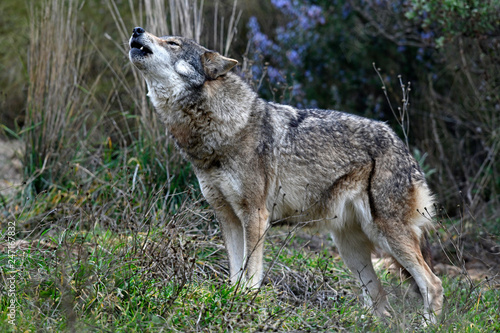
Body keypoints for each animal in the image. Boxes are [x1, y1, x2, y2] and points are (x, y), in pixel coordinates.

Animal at [128, 26, 442, 322]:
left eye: (173, 43)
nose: (137, 30)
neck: (219, 130)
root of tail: (400, 142)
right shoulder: (227, 217)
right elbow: (235, 271)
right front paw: (231, 301)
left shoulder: (255, 215)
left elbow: (250, 273)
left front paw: (244, 304)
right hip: (351, 249)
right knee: (380, 298)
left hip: (386, 234)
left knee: (433, 284)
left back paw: (427, 323)